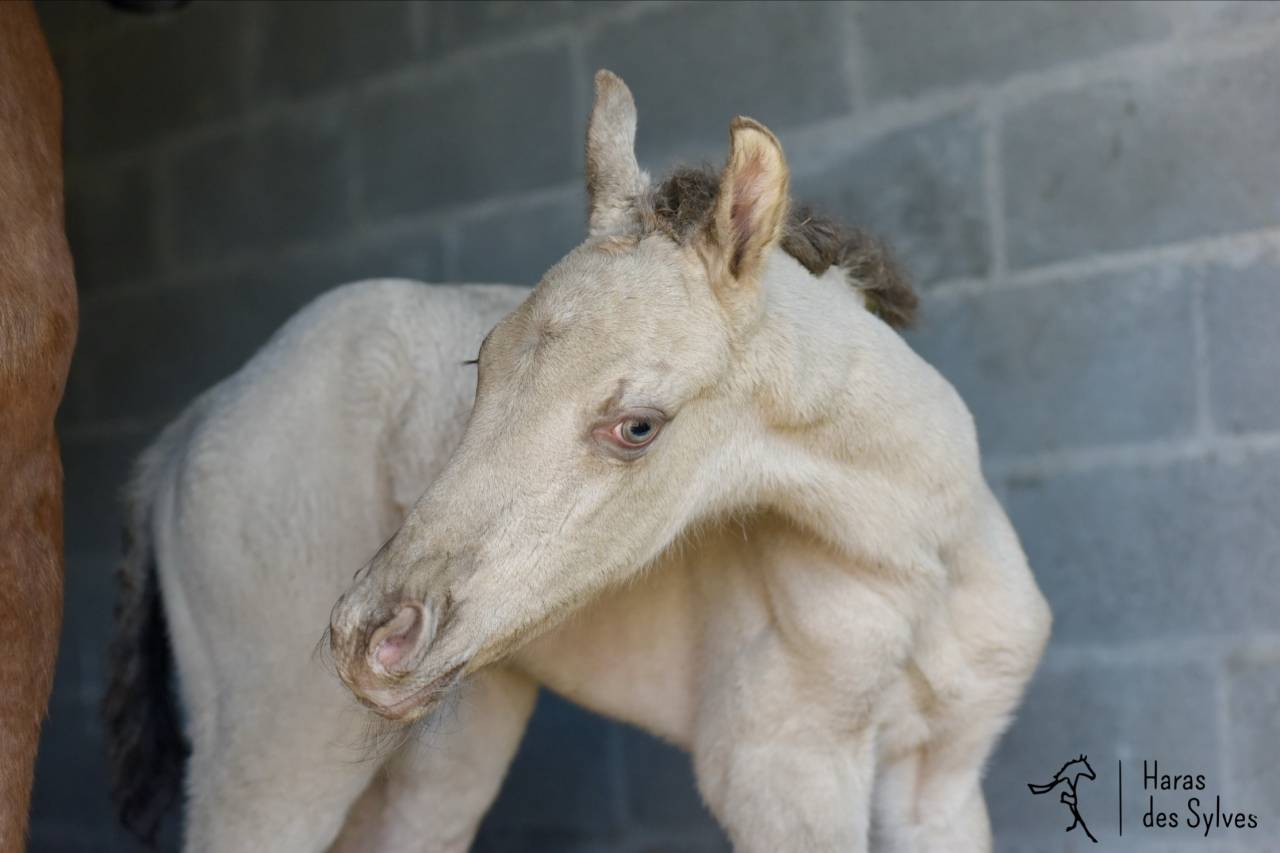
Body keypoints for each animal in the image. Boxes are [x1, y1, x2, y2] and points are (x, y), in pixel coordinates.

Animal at [105, 70, 1050, 852]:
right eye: (481, 365)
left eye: (638, 426)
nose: (371, 634)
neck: (923, 552)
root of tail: (195, 421)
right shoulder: (782, 772)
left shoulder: (940, 783)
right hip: (276, 744)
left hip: (446, 745)